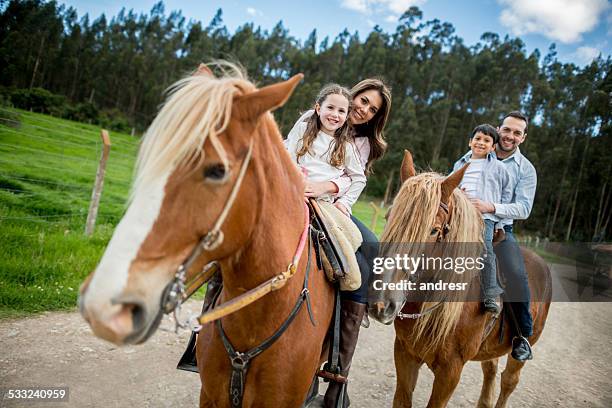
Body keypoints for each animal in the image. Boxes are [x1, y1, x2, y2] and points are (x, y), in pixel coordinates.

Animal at [370, 151, 552, 408]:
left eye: (433, 230)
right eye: (389, 217)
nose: (381, 302)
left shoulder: (450, 371)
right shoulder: (404, 354)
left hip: (522, 349)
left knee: (509, 381)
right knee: (490, 370)